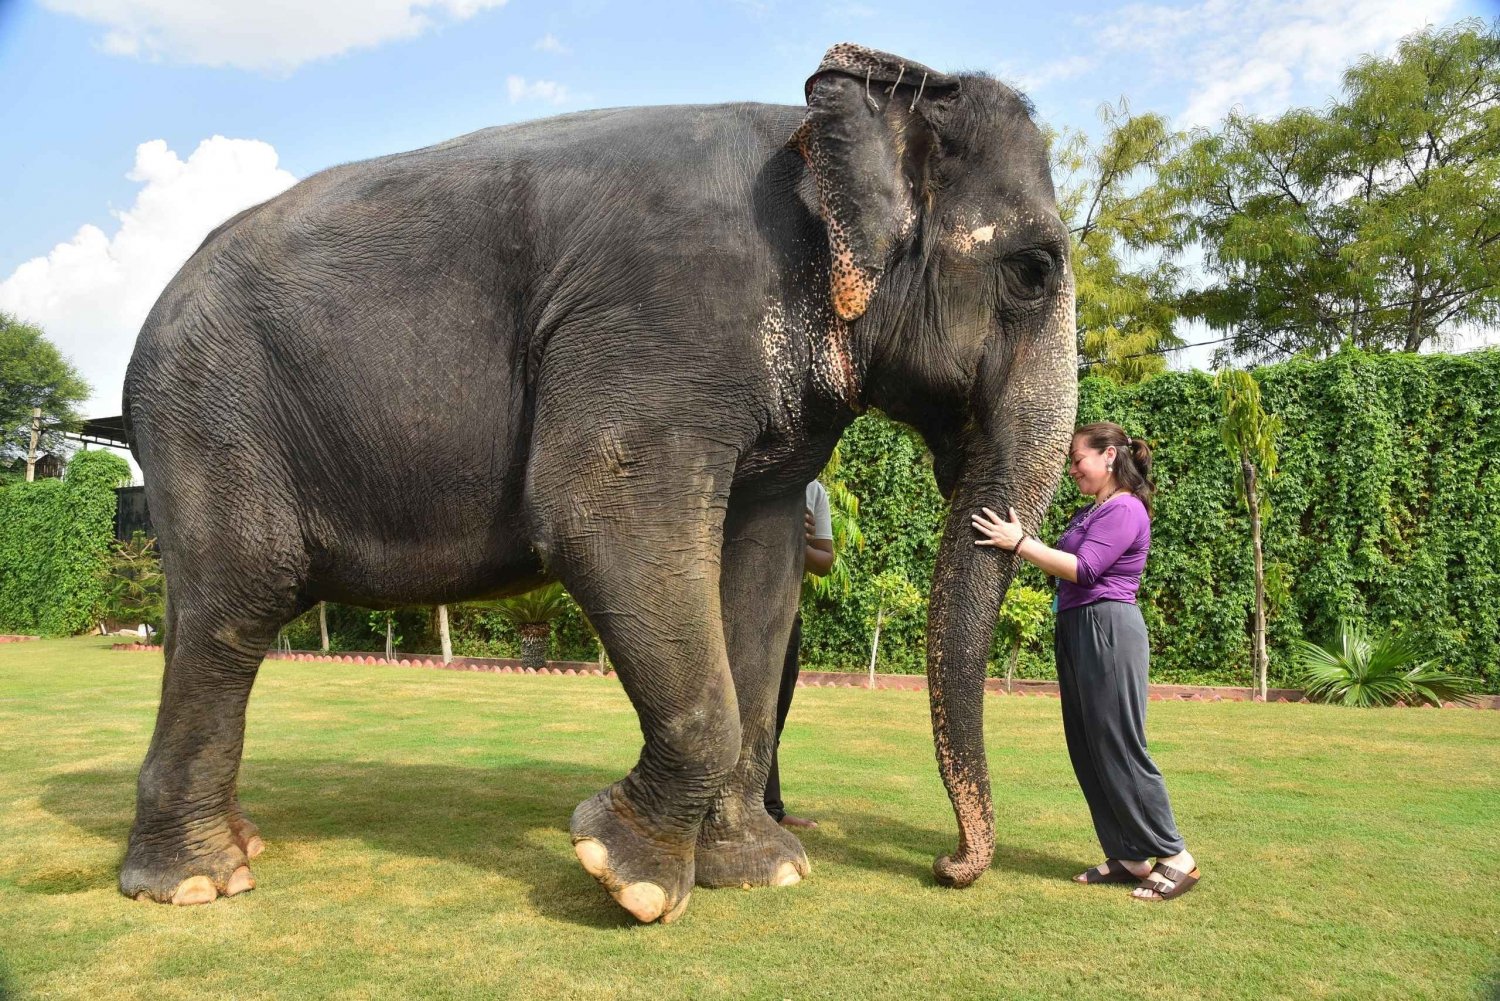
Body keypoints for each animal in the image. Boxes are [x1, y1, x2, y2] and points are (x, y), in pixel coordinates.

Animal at [120, 45, 1080, 924]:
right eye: (1033, 272)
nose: (949, 867)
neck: (812, 140)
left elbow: (760, 575)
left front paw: (761, 870)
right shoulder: (661, 322)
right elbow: (597, 514)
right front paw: (627, 874)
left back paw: (238, 846)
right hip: (210, 412)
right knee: (239, 601)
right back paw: (199, 882)